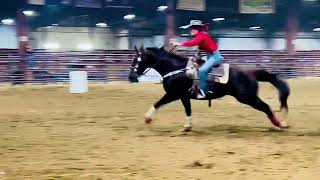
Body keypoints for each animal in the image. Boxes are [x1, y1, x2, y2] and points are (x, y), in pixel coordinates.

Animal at [127, 45, 290, 131]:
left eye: (138, 60)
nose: (131, 77)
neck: (176, 68)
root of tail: (251, 73)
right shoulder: (182, 96)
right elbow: (186, 109)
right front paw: (186, 127)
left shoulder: (174, 94)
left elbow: (159, 104)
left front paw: (148, 119)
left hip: (248, 97)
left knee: (266, 107)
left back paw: (280, 124)